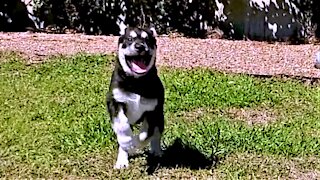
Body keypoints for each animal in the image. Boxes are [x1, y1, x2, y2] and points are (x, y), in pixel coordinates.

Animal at [107, 26, 164, 169]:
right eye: (129, 39)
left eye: (148, 40)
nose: (140, 46)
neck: (136, 82)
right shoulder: (115, 102)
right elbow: (122, 127)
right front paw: (127, 143)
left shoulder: (153, 110)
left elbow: (146, 135)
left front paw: (135, 144)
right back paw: (122, 160)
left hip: (161, 117)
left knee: (156, 135)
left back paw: (156, 151)